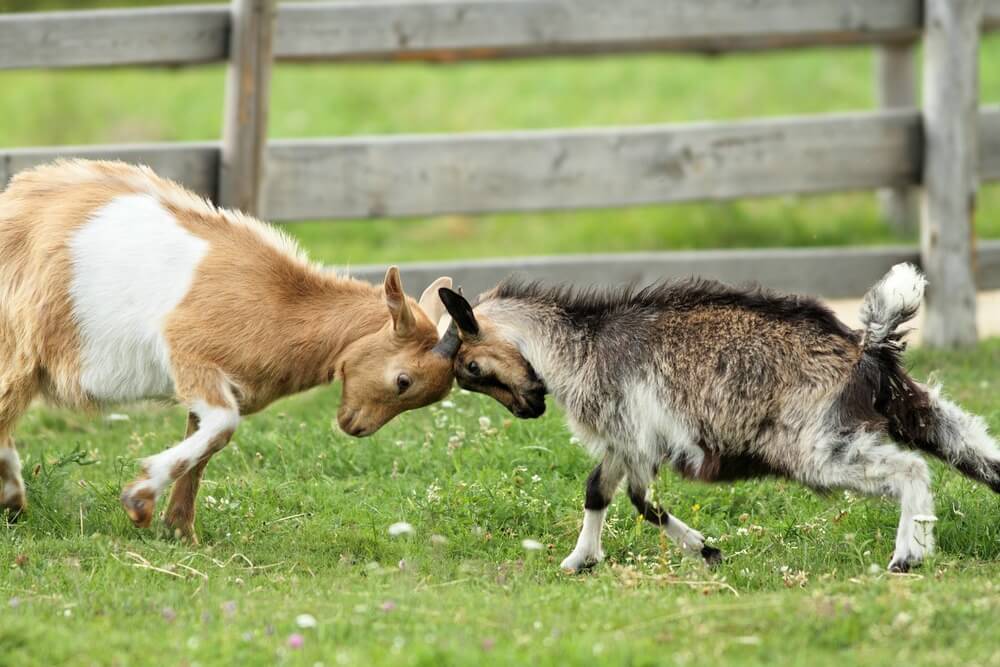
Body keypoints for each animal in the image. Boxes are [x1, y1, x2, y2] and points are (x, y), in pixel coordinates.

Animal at [0, 159, 458, 540]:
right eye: (403, 380)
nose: (356, 427)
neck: (279, 303)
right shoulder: (188, 353)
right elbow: (223, 425)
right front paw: (139, 499)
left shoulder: (219, 388)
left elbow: (205, 445)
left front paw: (180, 531)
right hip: (18, 346)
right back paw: (13, 501)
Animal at [438, 264, 1000, 572]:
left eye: (471, 366)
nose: (529, 407)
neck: (580, 345)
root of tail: (867, 349)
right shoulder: (627, 443)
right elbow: (606, 492)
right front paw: (584, 561)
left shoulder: (631, 434)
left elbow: (632, 499)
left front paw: (701, 550)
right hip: (915, 410)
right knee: (979, 453)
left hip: (815, 447)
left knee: (910, 468)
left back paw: (908, 557)